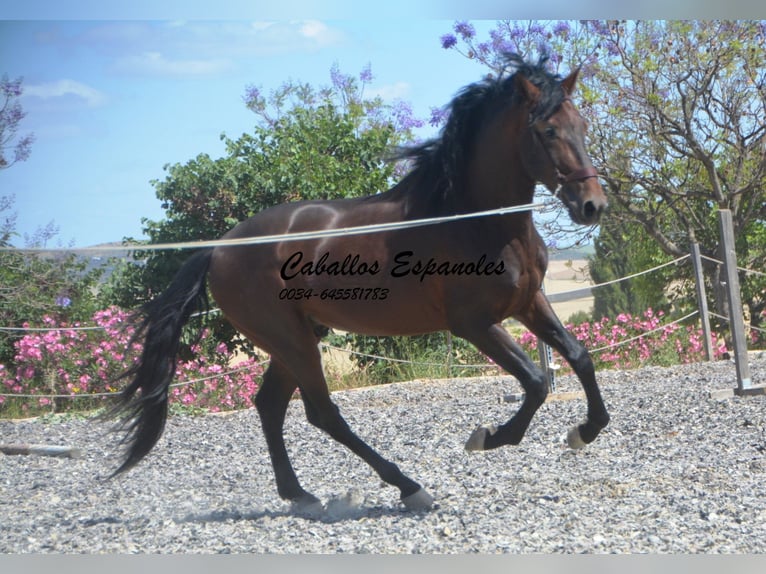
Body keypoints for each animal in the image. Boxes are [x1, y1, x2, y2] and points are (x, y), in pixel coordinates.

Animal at [106, 54, 612, 512]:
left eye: (583, 126)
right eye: (548, 131)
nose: (593, 206)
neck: (476, 221)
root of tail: (219, 248)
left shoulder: (529, 303)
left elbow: (579, 357)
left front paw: (583, 432)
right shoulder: (473, 324)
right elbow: (536, 381)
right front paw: (489, 437)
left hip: (297, 336)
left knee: (270, 406)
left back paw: (301, 495)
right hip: (289, 339)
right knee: (322, 413)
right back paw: (409, 488)